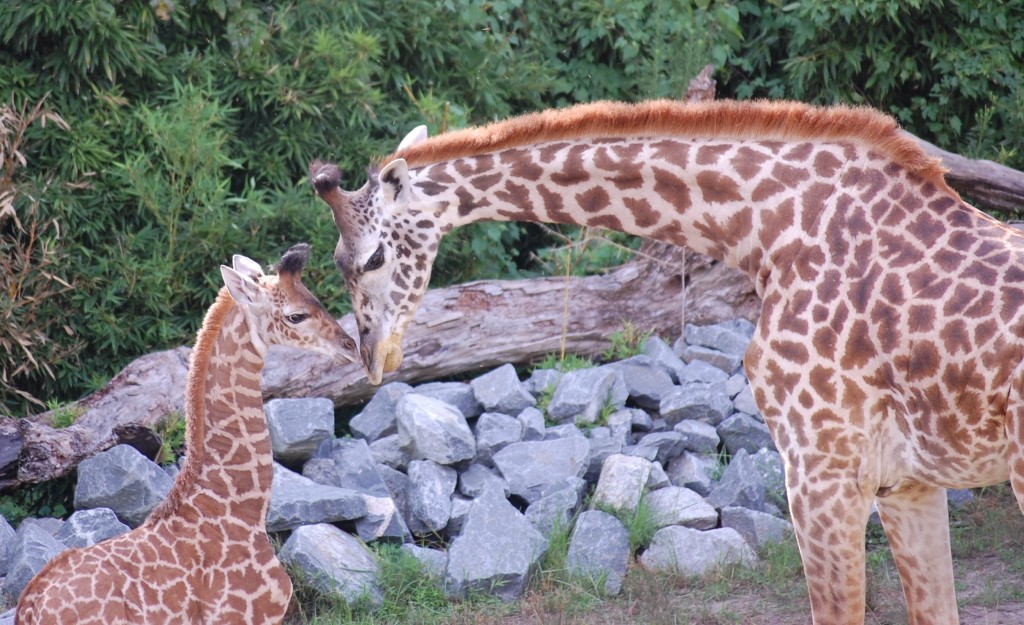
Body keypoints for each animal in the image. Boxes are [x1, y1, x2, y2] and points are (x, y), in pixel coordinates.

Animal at [307, 98, 1024, 622]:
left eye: (372, 257)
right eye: (339, 261)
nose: (372, 354)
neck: (772, 234)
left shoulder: (822, 469)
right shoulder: (907, 482)